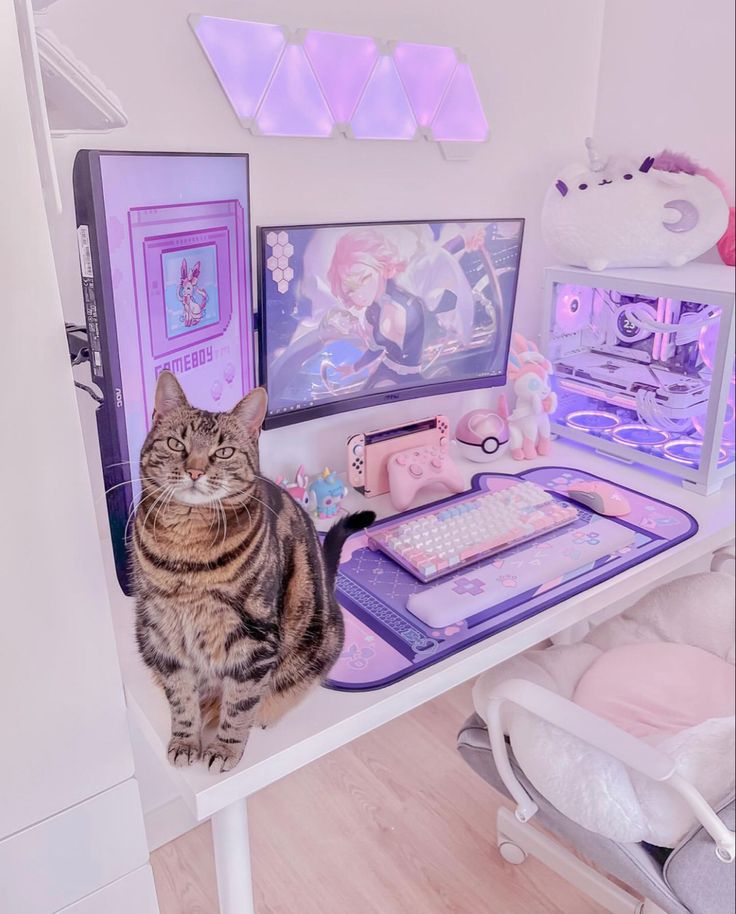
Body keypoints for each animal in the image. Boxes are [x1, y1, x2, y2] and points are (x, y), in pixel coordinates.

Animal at [131, 370, 374, 768]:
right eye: (176, 444)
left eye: (223, 451)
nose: (194, 470)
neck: (186, 550)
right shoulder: (163, 634)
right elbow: (181, 699)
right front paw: (185, 740)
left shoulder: (254, 640)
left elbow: (240, 703)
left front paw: (225, 747)